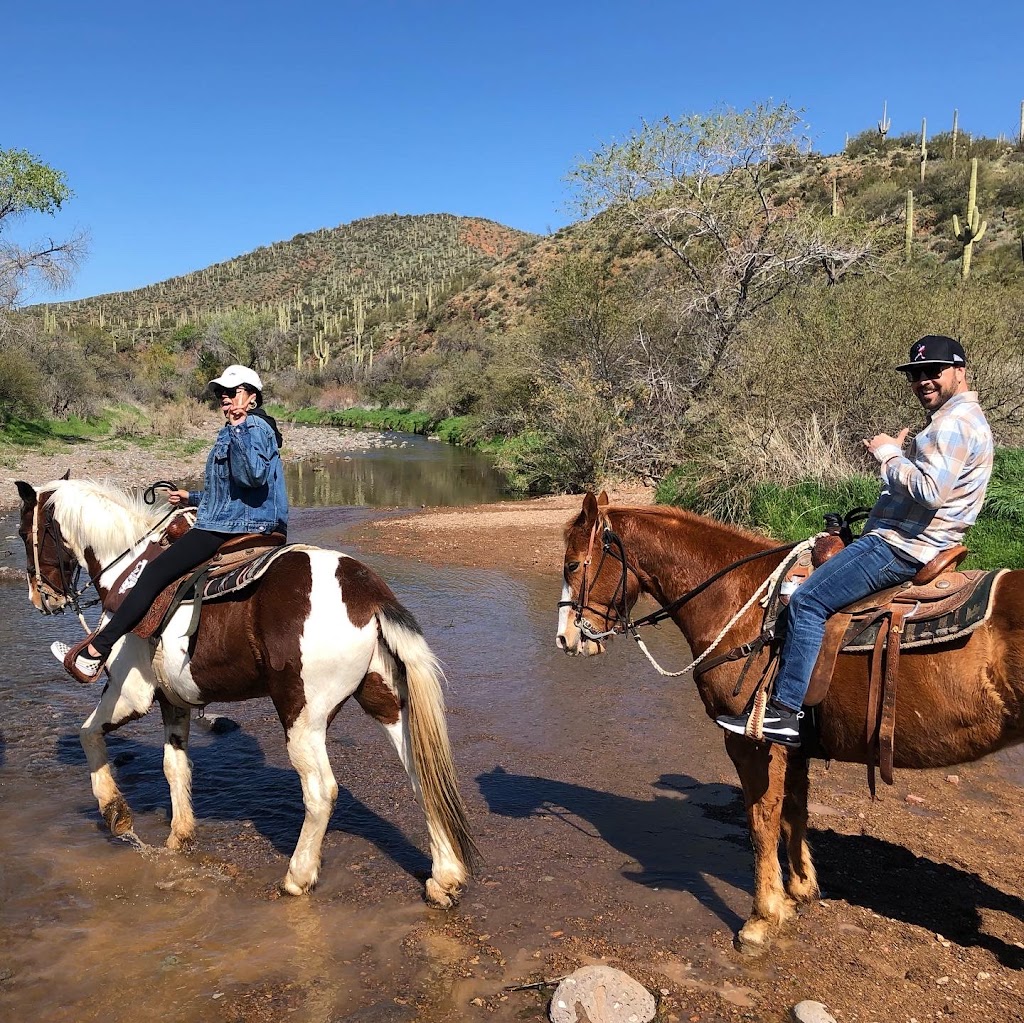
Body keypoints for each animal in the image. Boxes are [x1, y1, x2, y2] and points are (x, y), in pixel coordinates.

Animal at [17, 479, 471, 905]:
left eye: (23, 532)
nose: (40, 599)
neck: (127, 567)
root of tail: (367, 594)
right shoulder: (174, 702)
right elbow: (174, 767)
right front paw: (179, 837)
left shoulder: (132, 693)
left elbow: (88, 733)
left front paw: (116, 813)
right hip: (384, 700)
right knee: (422, 773)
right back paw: (445, 878)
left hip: (301, 714)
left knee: (320, 790)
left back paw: (297, 876)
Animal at [557, 491, 1024, 954]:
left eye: (574, 565)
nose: (565, 638)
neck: (742, 604)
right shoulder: (796, 744)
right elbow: (794, 811)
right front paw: (800, 889)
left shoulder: (752, 742)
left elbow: (761, 820)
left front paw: (763, 917)